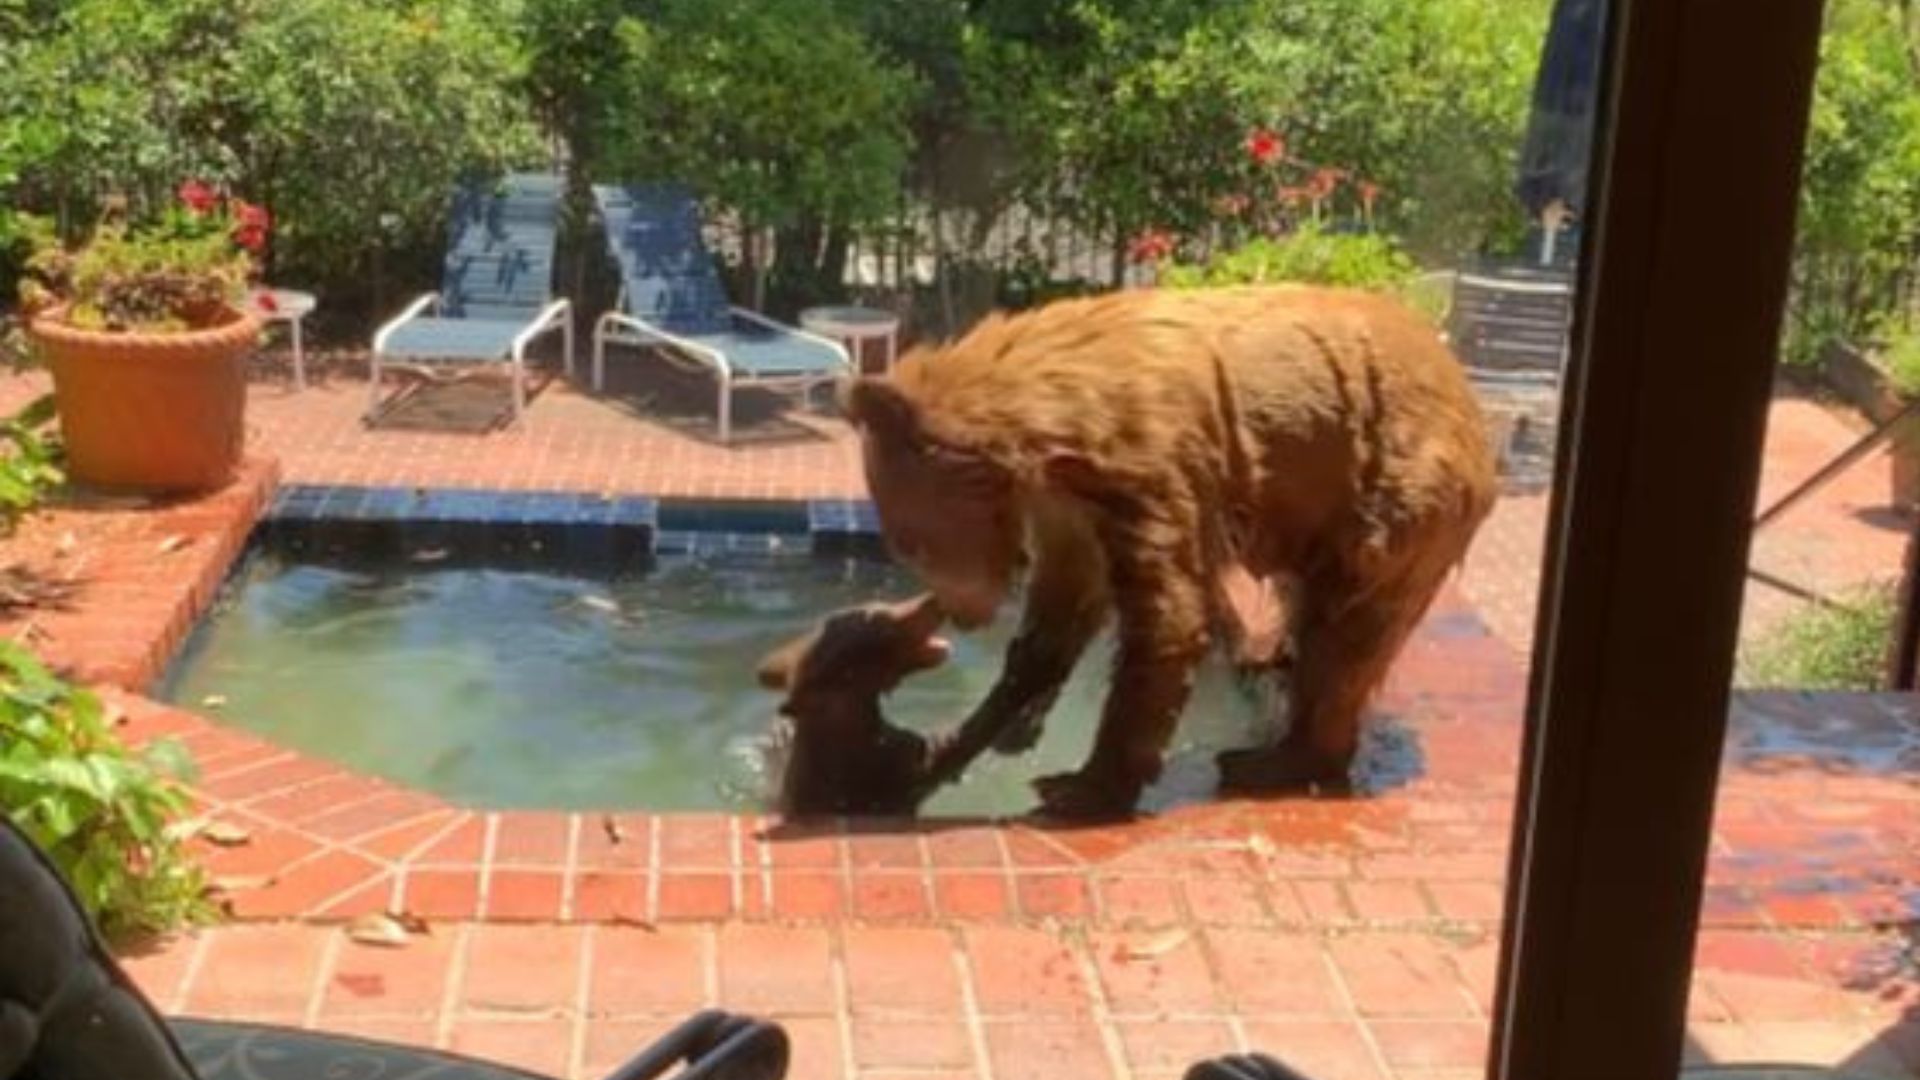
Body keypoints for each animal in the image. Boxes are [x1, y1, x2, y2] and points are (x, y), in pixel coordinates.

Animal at [844, 284, 1497, 814]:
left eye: (911, 544)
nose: (962, 617)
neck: (1052, 428)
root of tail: (1464, 389)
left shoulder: (1151, 468)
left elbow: (1167, 617)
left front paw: (1080, 786)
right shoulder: (1073, 509)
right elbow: (1058, 620)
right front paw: (970, 744)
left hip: (1397, 499)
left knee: (1348, 636)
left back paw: (1273, 760)